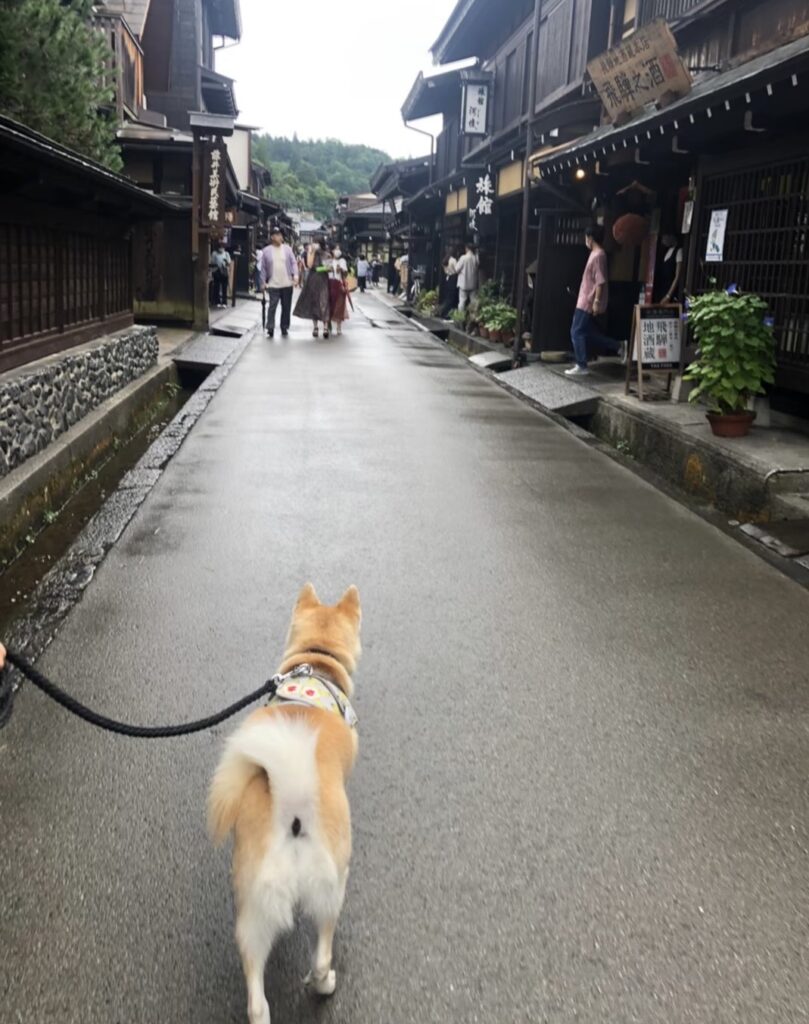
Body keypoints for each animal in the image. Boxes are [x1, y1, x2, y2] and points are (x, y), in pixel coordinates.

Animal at [208, 585, 360, 1024]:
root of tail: (291, 806)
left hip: (254, 909)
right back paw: (324, 984)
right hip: (332, 887)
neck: (316, 664)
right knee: (322, 956)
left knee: (257, 1001)